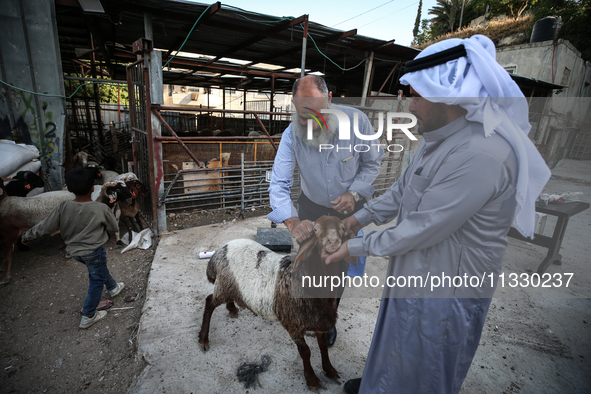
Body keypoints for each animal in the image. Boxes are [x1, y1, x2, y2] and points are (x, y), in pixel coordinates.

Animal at [199, 217, 352, 390]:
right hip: (224, 284)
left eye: (342, 228)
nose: (333, 242)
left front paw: (330, 370)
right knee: (209, 302)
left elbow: (323, 346)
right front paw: (312, 379)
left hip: (228, 285)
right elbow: (305, 351)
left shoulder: (319, 321)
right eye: (316, 230)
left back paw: (232, 308)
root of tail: (220, 251)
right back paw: (203, 339)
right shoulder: (292, 323)